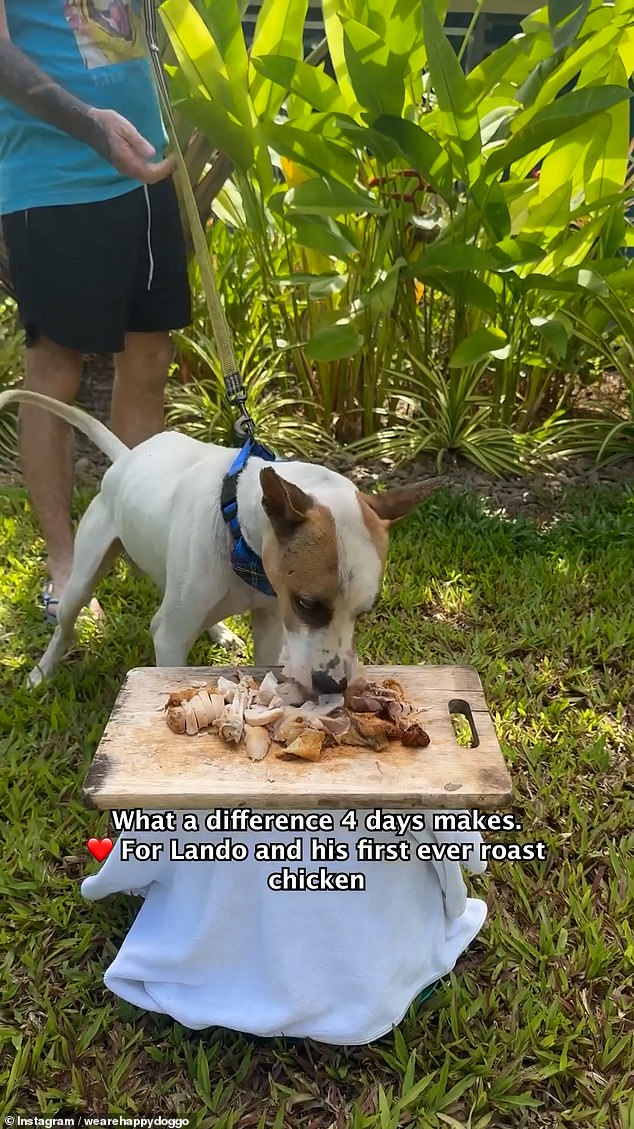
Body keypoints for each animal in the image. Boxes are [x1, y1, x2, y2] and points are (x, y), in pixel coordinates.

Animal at [0, 388, 437, 686]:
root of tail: (127, 457)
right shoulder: (170, 639)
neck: (239, 535)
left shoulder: (270, 622)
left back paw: (219, 630)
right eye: (307, 603)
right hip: (84, 577)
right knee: (66, 622)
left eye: (365, 613)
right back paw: (41, 672)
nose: (334, 685)